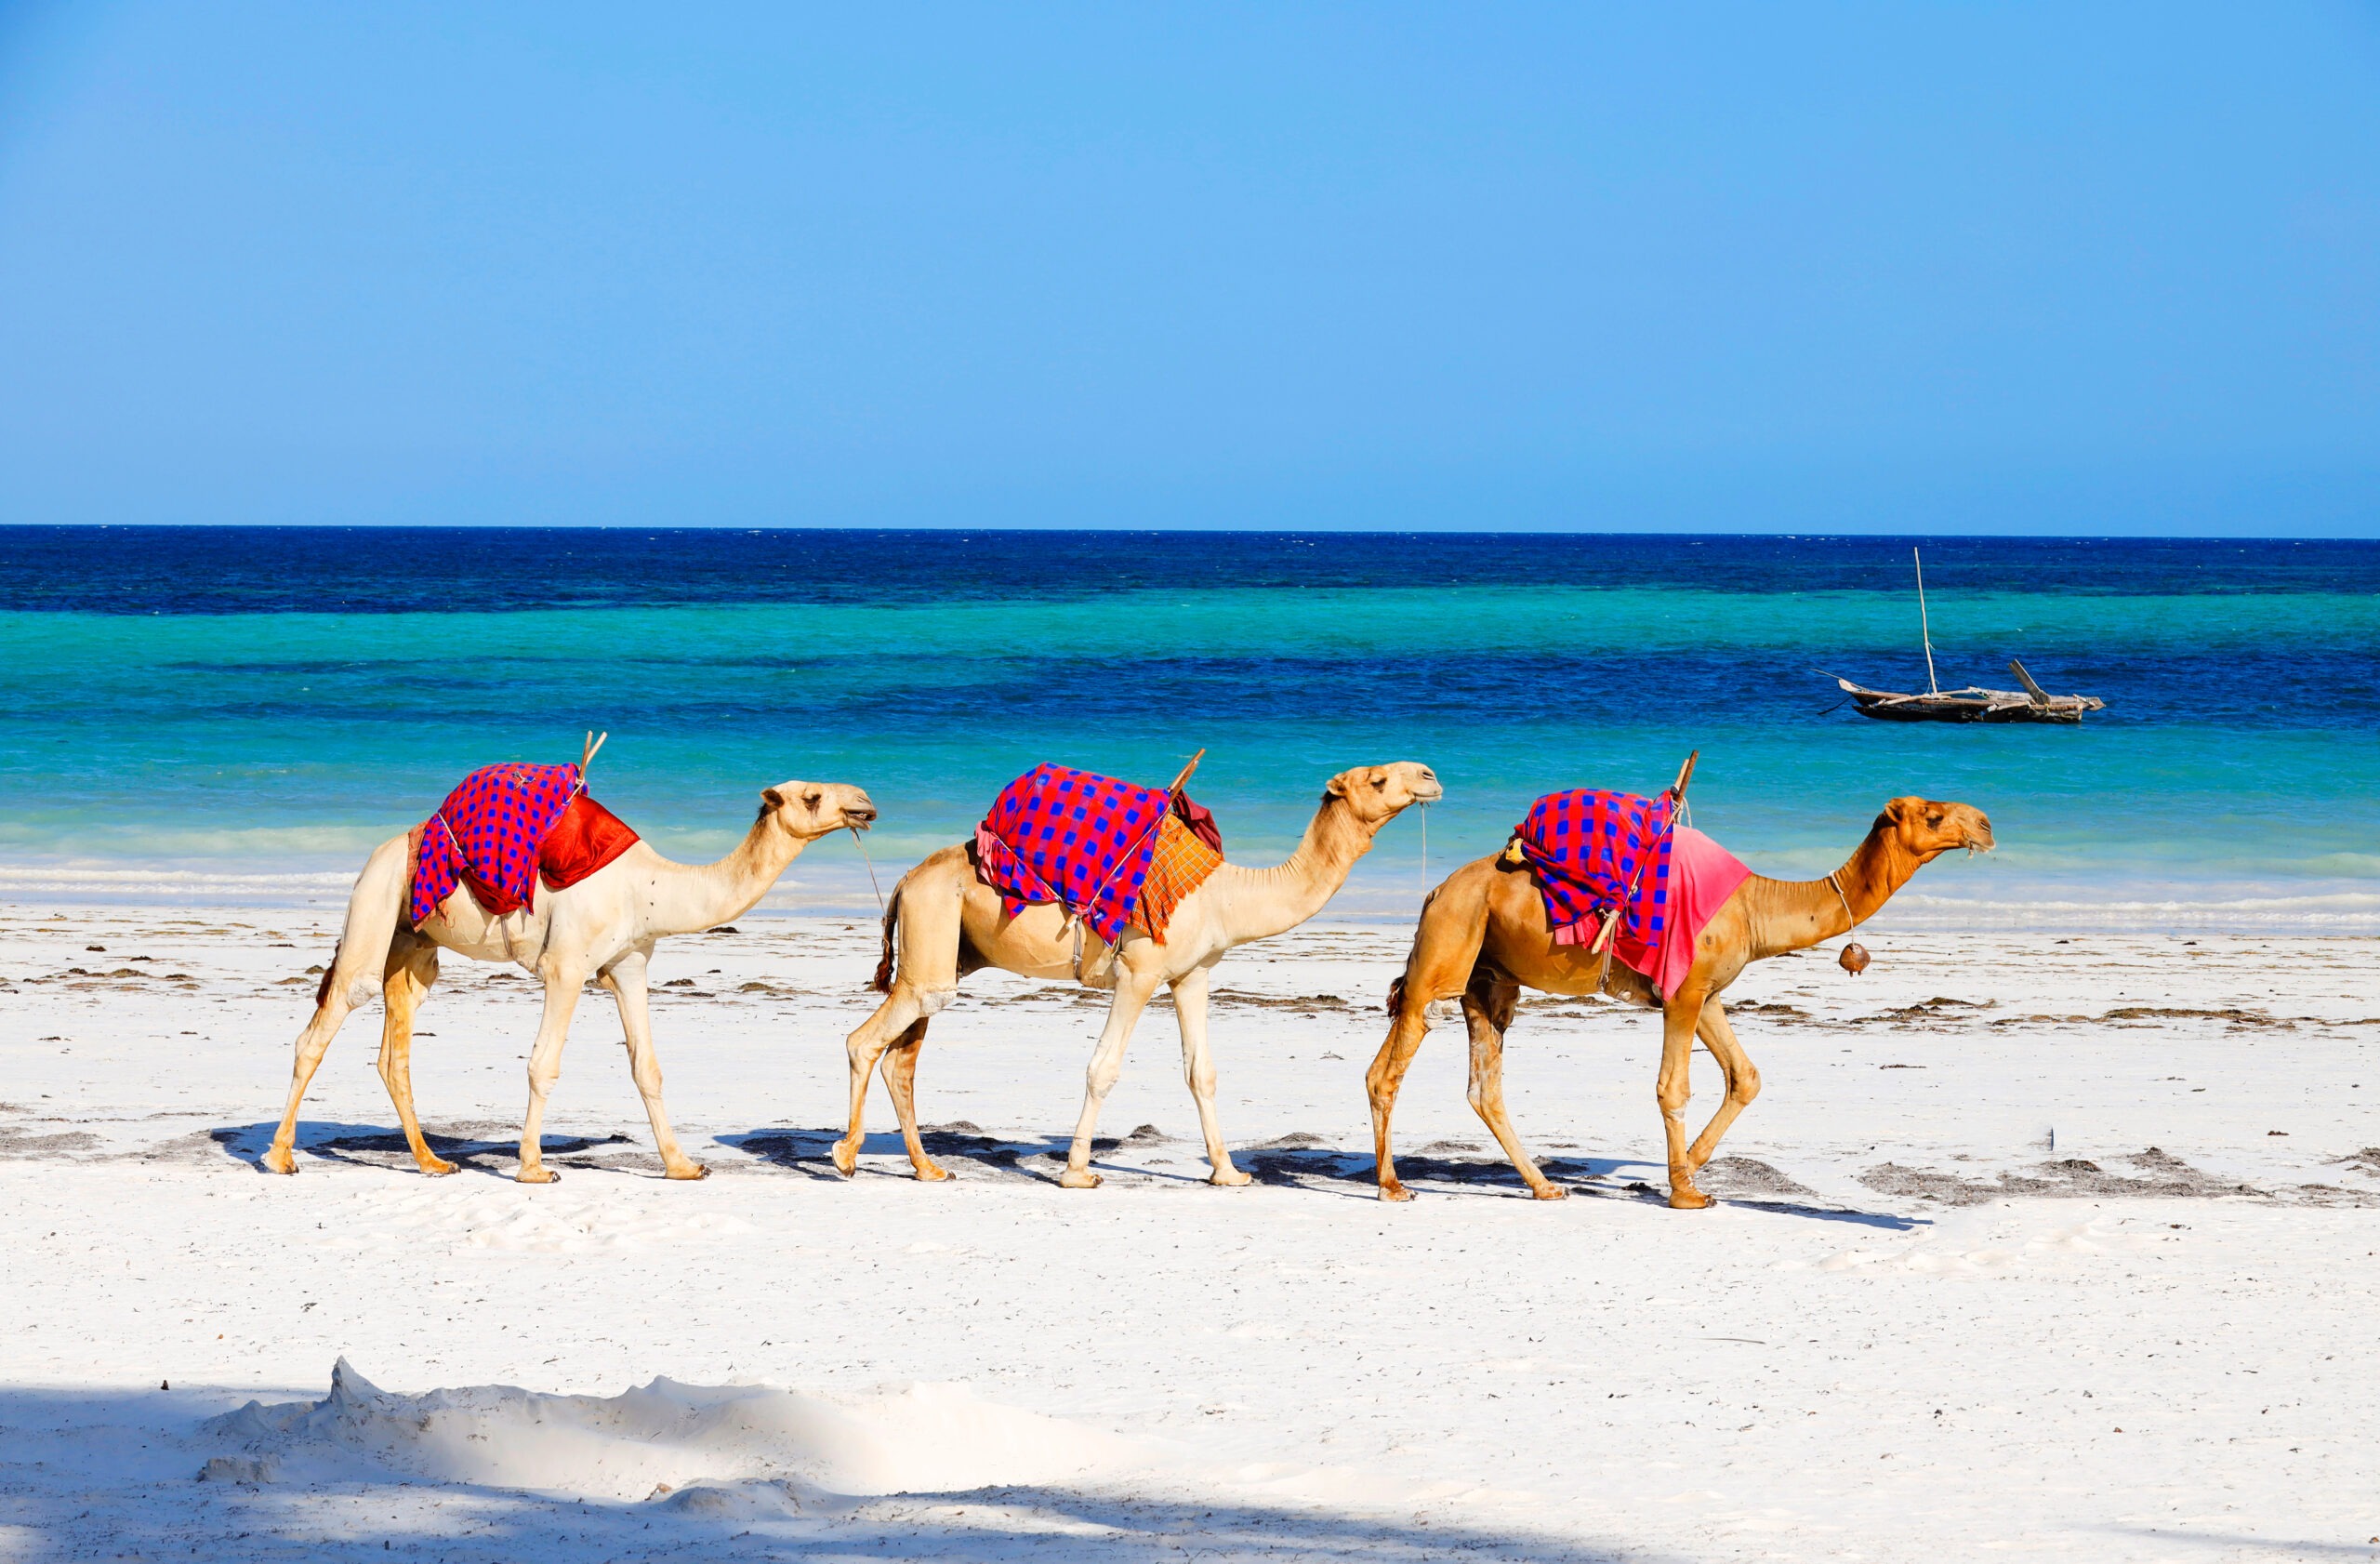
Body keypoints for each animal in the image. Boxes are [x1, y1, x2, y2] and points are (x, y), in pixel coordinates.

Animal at [262, 780, 876, 1185]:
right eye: (812, 797)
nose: (865, 803)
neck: (649, 888)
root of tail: (381, 852)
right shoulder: (566, 967)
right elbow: (543, 1064)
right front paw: (534, 1168)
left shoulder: (630, 965)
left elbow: (646, 1067)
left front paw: (682, 1165)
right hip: (375, 905)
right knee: (327, 1020)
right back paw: (280, 1157)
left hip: (412, 943)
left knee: (395, 1051)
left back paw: (433, 1161)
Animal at [838, 762, 1428, 1185]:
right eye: (1377, 778)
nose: (1429, 775)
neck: (1225, 895)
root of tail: (907, 879)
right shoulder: (1139, 973)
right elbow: (1103, 1068)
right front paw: (1077, 1173)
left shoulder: (1191, 974)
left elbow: (1201, 1072)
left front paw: (1229, 1174)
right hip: (933, 925)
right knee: (865, 1041)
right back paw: (846, 1157)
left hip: (945, 950)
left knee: (903, 1058)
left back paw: (928, 1168)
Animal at [1361, 795, 1990, 1209]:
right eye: (1933, 815)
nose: (1985, 826)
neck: (1756, 905)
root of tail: (1434, 891)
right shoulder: (1683, 994)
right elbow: (1672, 1087)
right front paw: (1686, 1191)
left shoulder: (1706, 992)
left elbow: (1746, 1076)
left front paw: (1690, 1164)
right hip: (1446, 950)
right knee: (1389, 1066)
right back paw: (1392, 1186)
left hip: (1488, 979)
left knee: (1483, 1086)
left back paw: (1544, 1186)